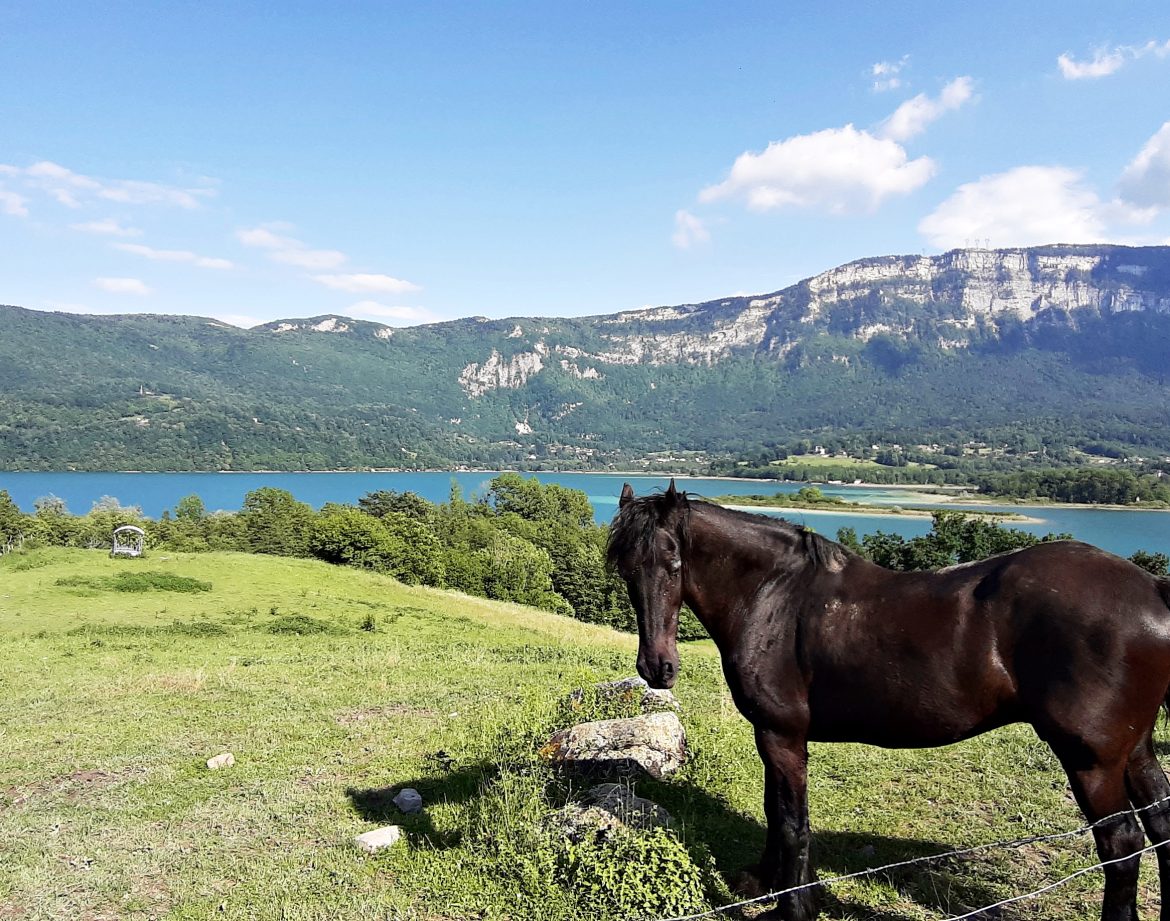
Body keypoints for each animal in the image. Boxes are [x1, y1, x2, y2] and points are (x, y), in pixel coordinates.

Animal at [608, 481, 1170, 921]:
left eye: (674, 562)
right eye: (625, 569)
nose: (657, 668)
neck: (773, 598)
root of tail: (1151, 589)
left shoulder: (782, 734)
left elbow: (791, 821)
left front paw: (794, 906)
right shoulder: (772, 734)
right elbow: (776, 809)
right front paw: (768, 883)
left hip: (1091, 760)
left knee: (1121, 846)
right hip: (1134, 750)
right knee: (1160, 822)